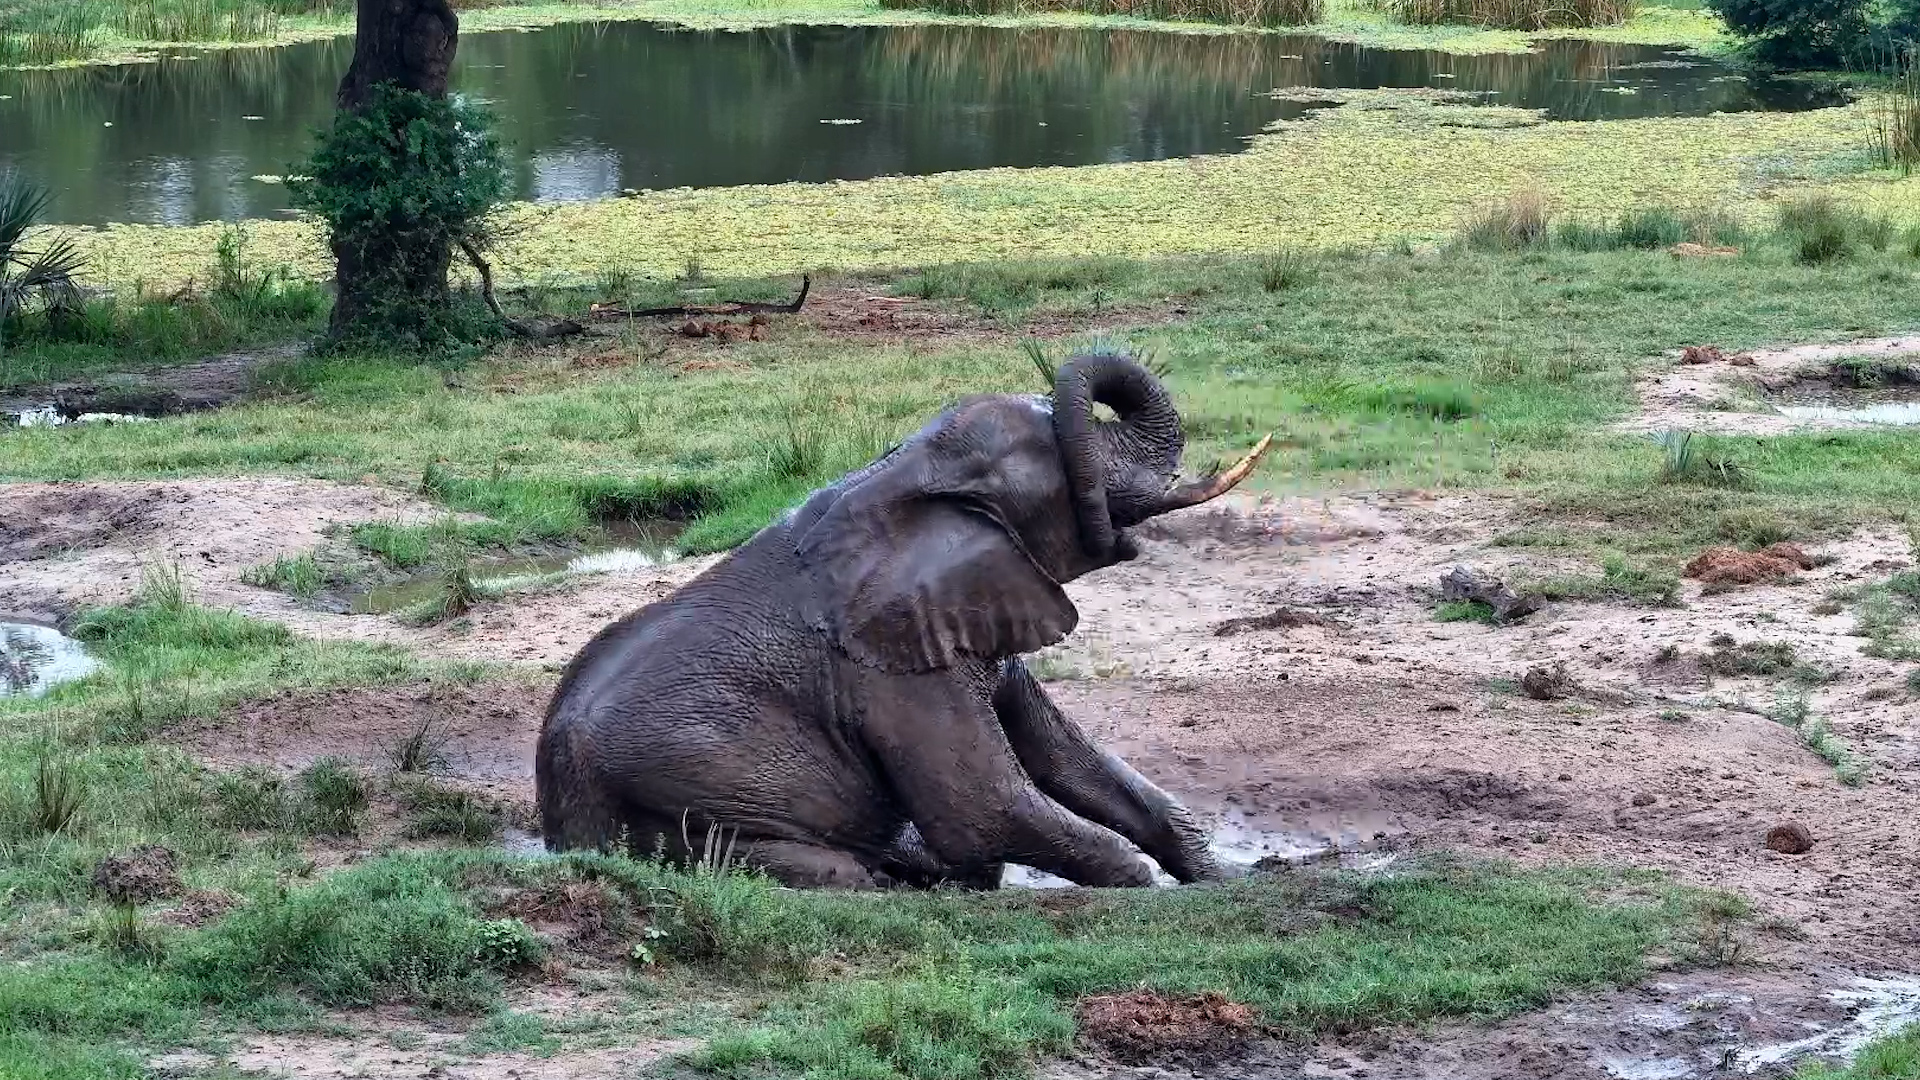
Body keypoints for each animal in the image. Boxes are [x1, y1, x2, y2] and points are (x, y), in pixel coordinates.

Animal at [534, 351, 1271, 888]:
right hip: (682, 810)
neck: (900, 473)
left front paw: (1218, 881)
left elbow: (1068, 760)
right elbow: (985, 810)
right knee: (844, 873)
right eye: (1062, 466)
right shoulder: (892, 673)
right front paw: (1143, 883)